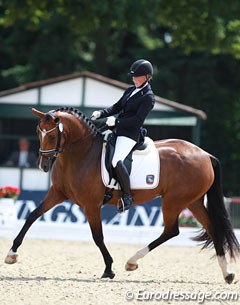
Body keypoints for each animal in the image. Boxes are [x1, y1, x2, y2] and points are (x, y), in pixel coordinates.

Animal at [4, 106, 239, 282]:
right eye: (38, 132)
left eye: (52, 135)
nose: (43, 166)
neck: (81, 153)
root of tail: (205, 154)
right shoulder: (58, 193)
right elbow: (32, 216)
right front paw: (11, 254)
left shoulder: (91, 205)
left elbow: (97, 237)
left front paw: (109, 269)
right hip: (193, 201)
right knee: (212, 228)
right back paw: (227, 274)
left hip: (174, 201)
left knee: (172, 230)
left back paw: (132, 261)